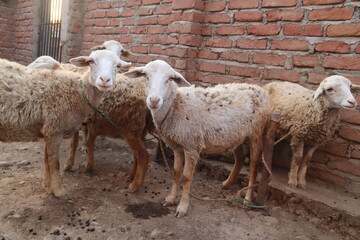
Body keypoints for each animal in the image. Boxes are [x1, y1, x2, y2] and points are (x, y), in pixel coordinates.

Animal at [0, 49, 124, 198]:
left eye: (118, 66)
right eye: (91, 61)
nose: (104, 80)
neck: (78, 92)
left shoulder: (48, 130)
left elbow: (46, 159)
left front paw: (47, 185)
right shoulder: (55, 129)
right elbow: (54, 162)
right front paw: (58, 191)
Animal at [125, 60, 272, 218]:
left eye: (170, 79)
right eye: (145, 76)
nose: (154, 100)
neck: (175, 105)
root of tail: (261, 90)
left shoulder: (192, 146)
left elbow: (186, 177)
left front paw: (182, 207)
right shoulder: (177, 146)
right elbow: (176, 173)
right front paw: (170, 199)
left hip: (256, 132)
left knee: (253, 166)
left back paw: (247, 199)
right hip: (236, 134)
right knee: (240, 157)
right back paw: (227, 183)